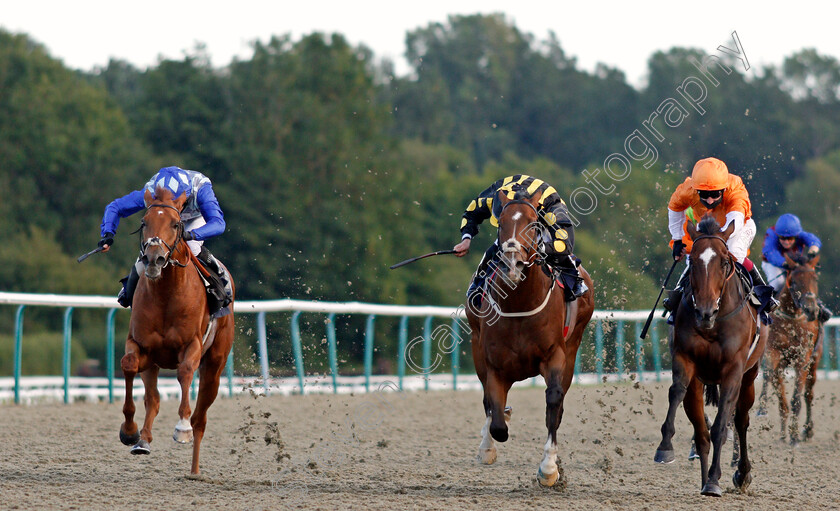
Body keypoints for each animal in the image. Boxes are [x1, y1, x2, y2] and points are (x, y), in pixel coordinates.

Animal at [118, 187, 236, 476]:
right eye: (144, 222)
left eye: (175, 224)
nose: (153, 258)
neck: (166, 295)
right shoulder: (142, 346)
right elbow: (129, 366)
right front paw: (129, 432)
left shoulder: (191, 346)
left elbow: (184, 373)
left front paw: (181, 427)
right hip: (154, 364)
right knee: (154, 399)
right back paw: (143, 440)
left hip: (215, 367)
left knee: (201, 418)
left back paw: (194, 470)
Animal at [462, 190, 592, 486]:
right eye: (500, 224)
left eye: (534, 225)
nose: (513, 263)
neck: (519, 304)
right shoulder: (494, 365)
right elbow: (496, 419)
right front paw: (488, 446)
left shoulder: (556, 355)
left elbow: (553, 403)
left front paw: (549, 469)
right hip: (476, 347)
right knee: (488, 403)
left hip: (573, 347)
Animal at [656, 215, 768, 496]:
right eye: (693, 261)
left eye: (725, 262)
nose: (705, 312)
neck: (713, 324)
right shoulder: (685, 359)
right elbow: (677, 392)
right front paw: (665, 447)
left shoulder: (733, 370)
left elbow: (721, 426)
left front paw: (716, 480)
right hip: (700, 383)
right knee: (700, 431)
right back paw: (705, 477)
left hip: (749, 376)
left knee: (740, 420)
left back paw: (741, 473)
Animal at [756, 252, 824, 444]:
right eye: (793, 281)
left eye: (815, 278)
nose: (811, 310)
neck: (792, 318)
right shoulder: (773, 352)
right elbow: (770, 377)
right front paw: (763, 408)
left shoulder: (803, 357)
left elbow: (797, 399)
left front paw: (794, 436)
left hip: (815, 360)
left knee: (808, 394)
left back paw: (807, 430)